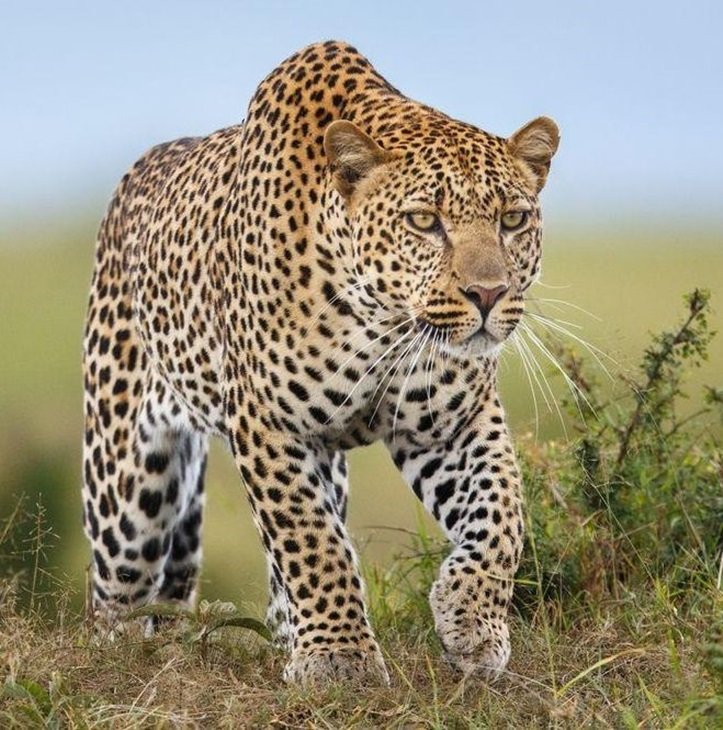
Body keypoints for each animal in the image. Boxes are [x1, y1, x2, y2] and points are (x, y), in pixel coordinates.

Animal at [81, 39, 559, 686]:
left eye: (512, 219)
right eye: (424, 221)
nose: (487, 294)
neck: (382, 320)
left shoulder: (454, 424)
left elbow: (502, 514)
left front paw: (472, 622)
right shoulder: (267, 422)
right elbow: (310, 540)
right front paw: (340, 658)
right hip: (127, 489)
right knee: (116, 595)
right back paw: (126, 653)